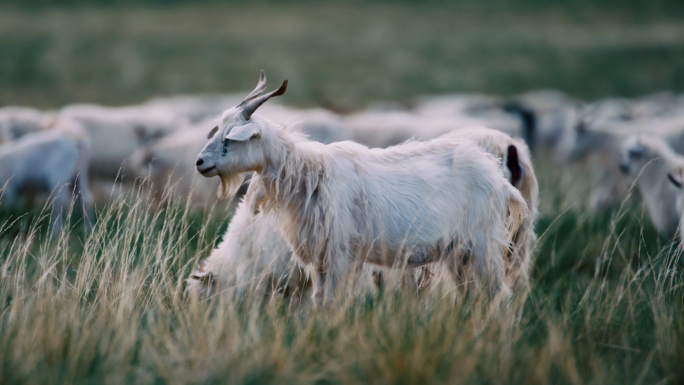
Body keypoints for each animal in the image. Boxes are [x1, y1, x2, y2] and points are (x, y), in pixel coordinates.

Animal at [195, 70, 528, 304]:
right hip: (460, 254)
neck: (309, 175)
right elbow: (320, 302)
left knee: (500, 297)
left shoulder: (340, 254)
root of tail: (500, 183)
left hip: (483, 247)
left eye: (230, 138)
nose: (199, 162)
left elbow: (331, 302)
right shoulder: (320, 262)